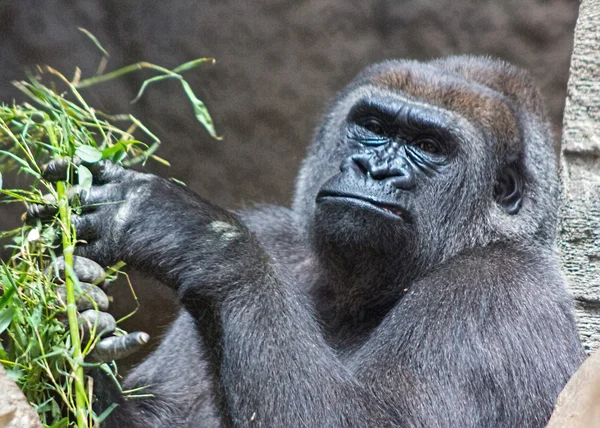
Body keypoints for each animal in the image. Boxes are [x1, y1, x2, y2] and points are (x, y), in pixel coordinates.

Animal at [30, 55, 584, 426]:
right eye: (373, 126)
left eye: (430, 146)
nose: (373, 168)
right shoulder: (277, 236)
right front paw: (70, 322)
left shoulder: (500, 289)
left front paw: (195, 236)